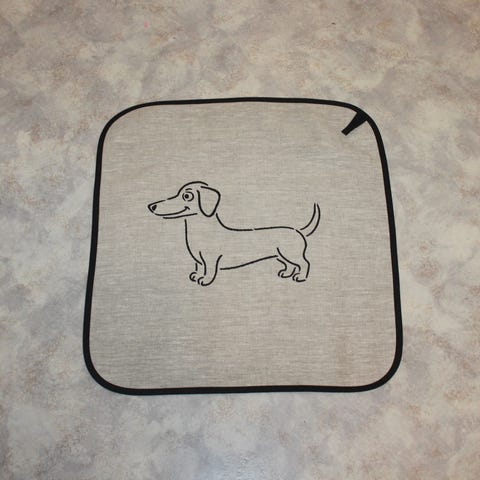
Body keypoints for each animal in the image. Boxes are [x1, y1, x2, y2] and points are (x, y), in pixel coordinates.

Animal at [147, 182, 320, 286]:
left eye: (187, 195)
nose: (152, 206)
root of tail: (298, 230)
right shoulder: (198, 261)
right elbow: (199, 268)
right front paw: (196, 276)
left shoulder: (211, 260)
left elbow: (209, 271)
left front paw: (205, 280)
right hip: (280, 256)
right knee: (290, 265)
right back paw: (286, 273)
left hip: (292, 254)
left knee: (305, 263)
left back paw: (301, 277)